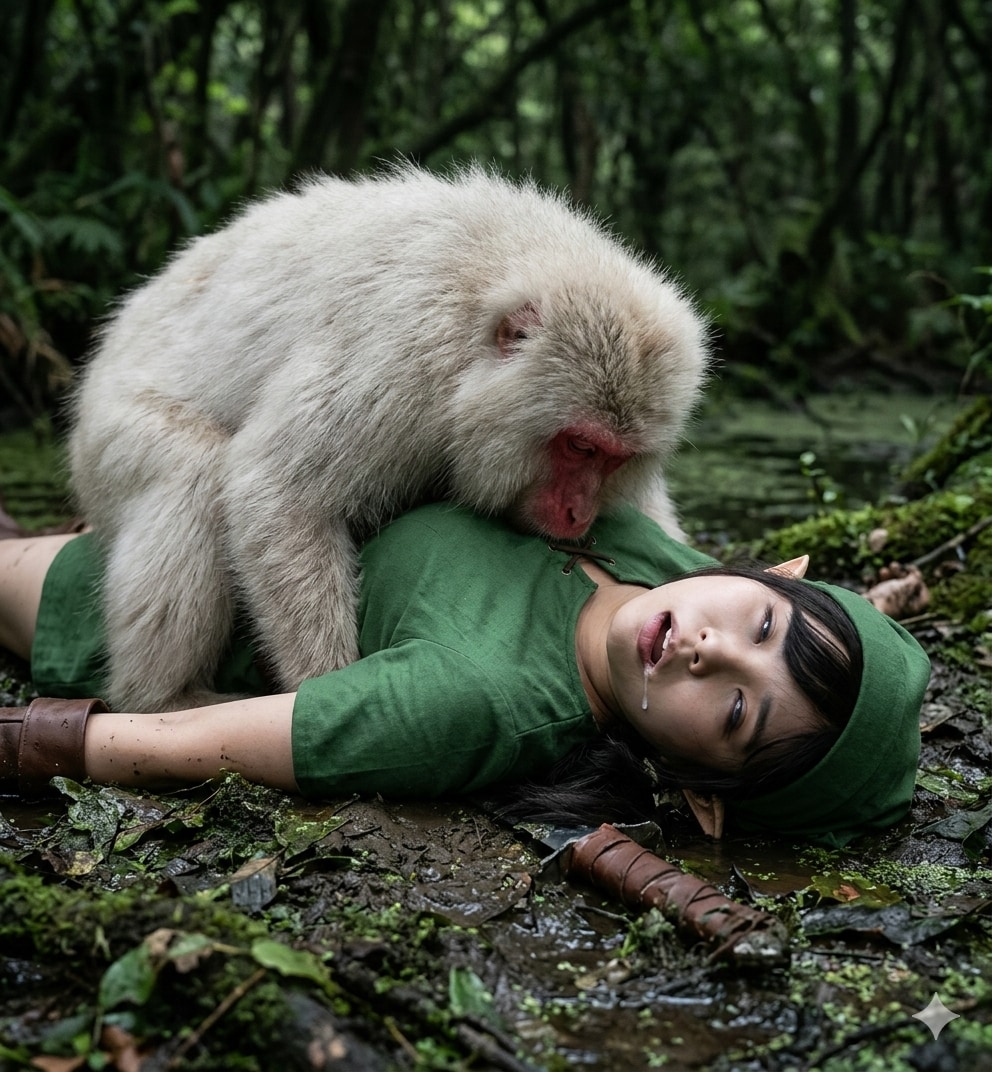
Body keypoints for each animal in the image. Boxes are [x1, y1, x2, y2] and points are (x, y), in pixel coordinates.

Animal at [67, 163, 710, 713]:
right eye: (579, 446)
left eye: (614, 459)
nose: (579, 513)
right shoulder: (402, 353)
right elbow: (274, 491)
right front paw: (323, 684)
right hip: (104, 437)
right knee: (193, 469)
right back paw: (163, 698)